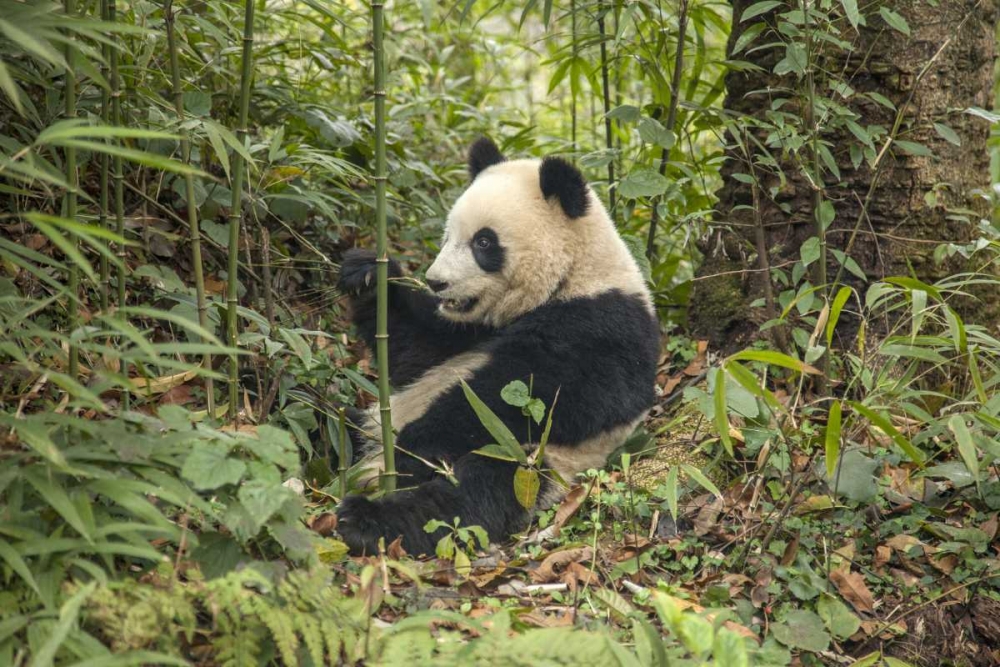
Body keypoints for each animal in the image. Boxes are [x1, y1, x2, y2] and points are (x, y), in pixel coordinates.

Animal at [335, 137, 660, 556]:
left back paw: (366, 519)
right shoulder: (469, 330)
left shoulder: (605, 324)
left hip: (533, 462)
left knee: (468, 495)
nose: (436, 282)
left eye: (484, 242)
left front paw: (421, 438)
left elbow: (541, 395)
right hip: (373, 423)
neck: (574, 275)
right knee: (335, 423)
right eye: (447, 237)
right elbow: (417, 352)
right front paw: (367, 274)